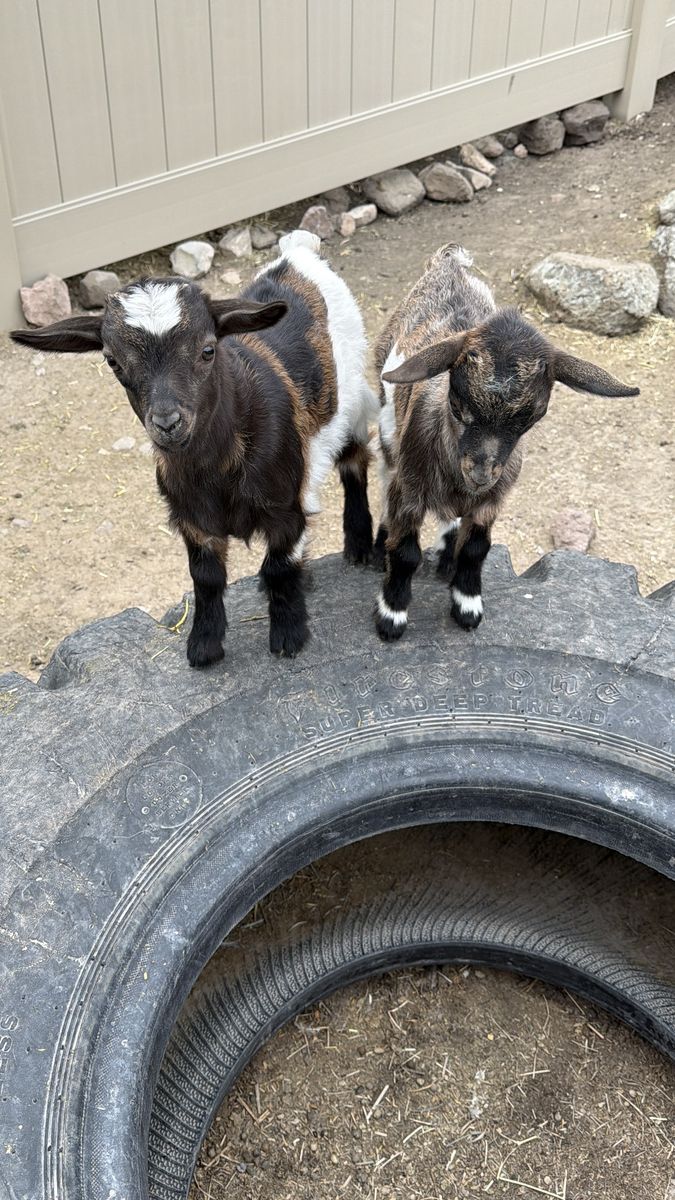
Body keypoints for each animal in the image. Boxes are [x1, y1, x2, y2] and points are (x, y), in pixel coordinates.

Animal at [11, 231, 378, 667]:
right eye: (113, 361)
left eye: (207, 350)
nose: (168, 423)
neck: (216, 467)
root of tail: (296, 253)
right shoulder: (193, 518)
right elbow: (205, 578)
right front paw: (203, 646)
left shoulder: (285, 507)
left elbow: (279, 566)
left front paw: (289, 635)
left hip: (352, 397)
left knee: (354, 462)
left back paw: (359, 546)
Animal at [373, 244, 639, 641]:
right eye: (457, 402)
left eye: (534, 417)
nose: (481, 473)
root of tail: (449, 262)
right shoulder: (409, 491)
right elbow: (405, 553)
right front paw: (392, 616)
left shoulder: (492, 501)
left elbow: (476, 549)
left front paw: (467, 605)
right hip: (388, 424)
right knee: (384, 471)